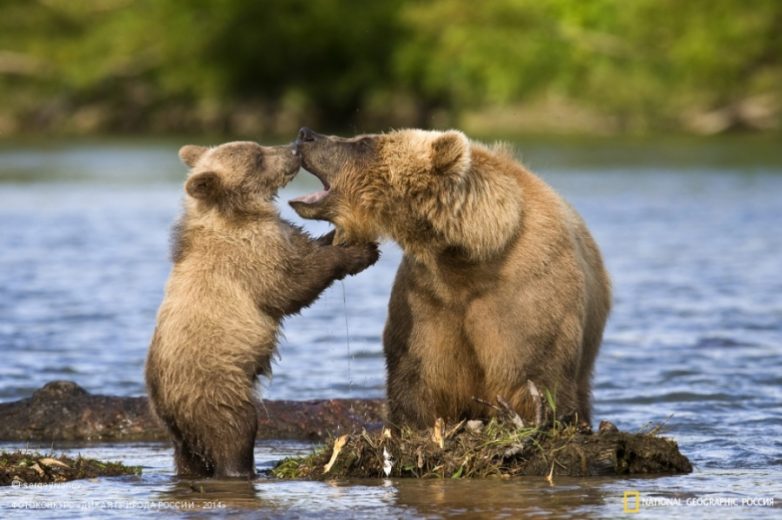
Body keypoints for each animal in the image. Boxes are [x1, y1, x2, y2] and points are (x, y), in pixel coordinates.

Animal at [292, 128, 612, 428]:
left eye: (363, 142)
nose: (306, 134)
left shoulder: (526, 293)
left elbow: (534, 373)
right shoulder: (427, 300)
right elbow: (418, 377)